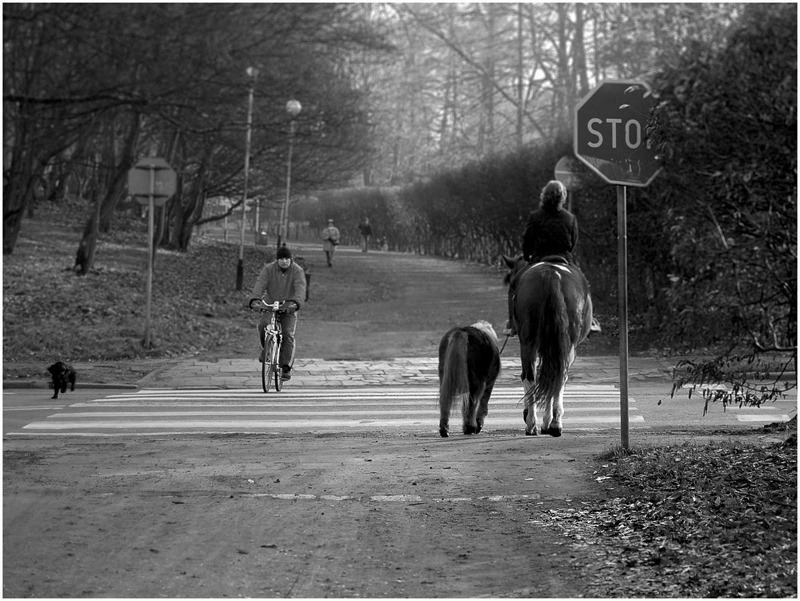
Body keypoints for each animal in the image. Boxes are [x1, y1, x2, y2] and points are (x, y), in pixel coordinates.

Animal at [504, 254, 592, 436]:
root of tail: (553, 277)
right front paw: (547, 421)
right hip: (565, 346)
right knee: (557, 376)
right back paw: (552, 424)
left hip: (529, 343)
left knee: (532, 376)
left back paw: (534, 423)